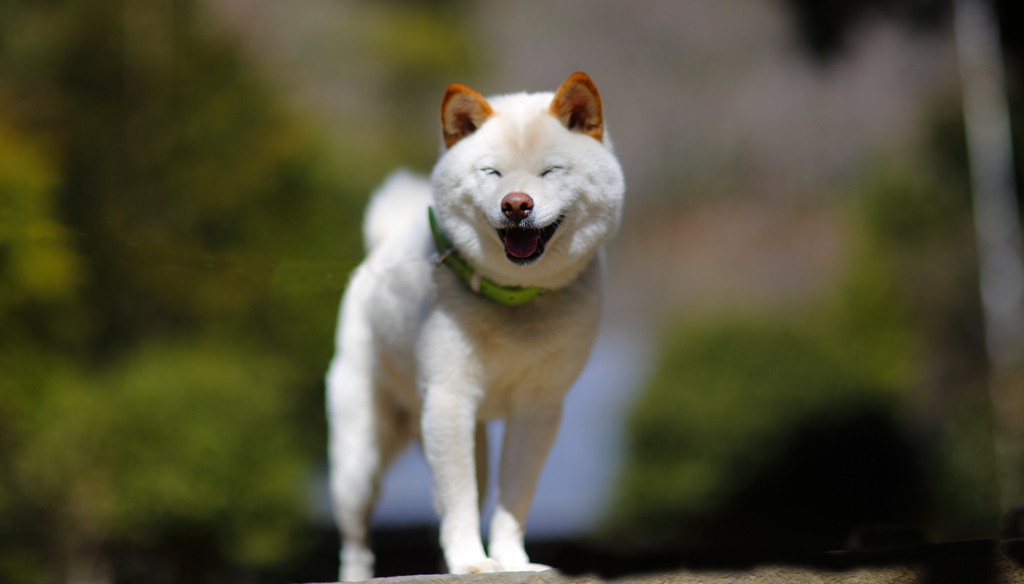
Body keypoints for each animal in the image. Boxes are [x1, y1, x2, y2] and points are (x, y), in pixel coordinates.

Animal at [327, 71, 626, 577]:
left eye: (550, 171)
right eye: (492, 173)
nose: (516, 205)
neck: (513, 297)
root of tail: (377, 250)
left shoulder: (538, 408)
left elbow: (514, 499)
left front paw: (512, 561)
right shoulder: (449, 400)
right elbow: (458, 500)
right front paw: (470, 562)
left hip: (465, 436)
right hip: (360, 458)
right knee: (356, 541)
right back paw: (357, 574)